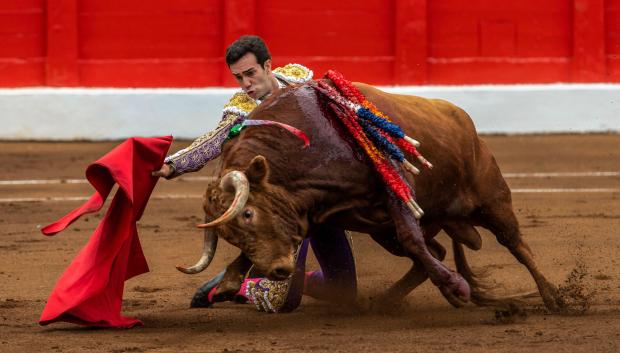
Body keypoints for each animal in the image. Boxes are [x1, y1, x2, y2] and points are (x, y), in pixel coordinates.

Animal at [178, 80, 560, 310]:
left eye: (248, 213)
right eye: (229, 234)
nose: (278, 270)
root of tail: (466, 122)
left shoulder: (395, 184)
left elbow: (411, 237)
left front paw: (456, 286)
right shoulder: (313, 215)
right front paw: (226, 282)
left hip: (492, 199)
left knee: (517, 245)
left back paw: (554, 298)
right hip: (384, 230)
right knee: (433, 251)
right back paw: (387, 302)